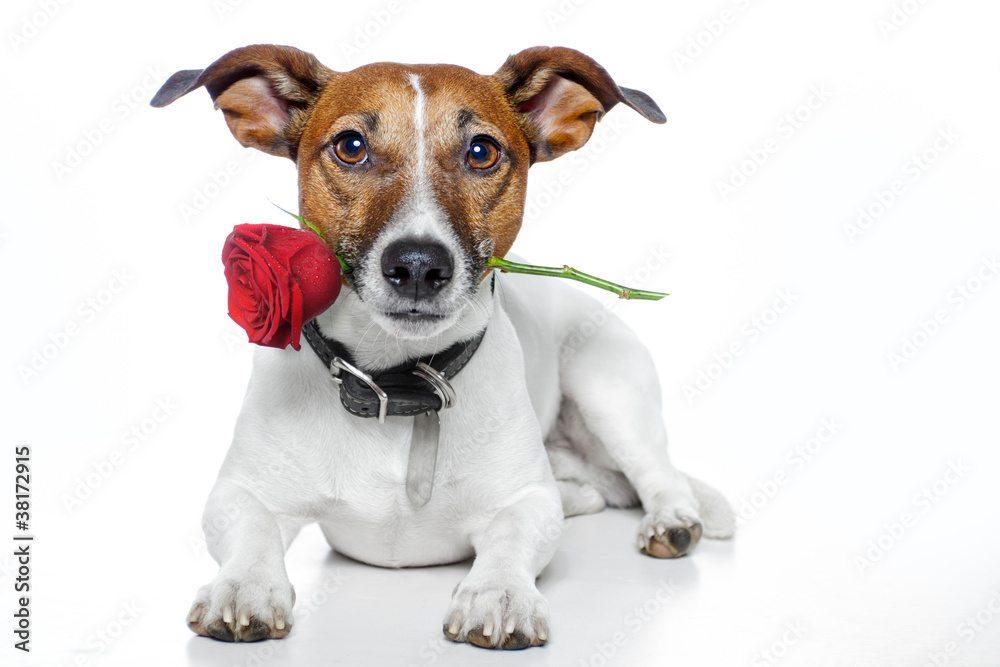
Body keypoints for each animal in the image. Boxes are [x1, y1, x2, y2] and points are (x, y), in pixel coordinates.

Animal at [154, 44, 736, 648]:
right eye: (350, 146)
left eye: (481, 151)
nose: (417, 265)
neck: (396, 385)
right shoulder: (238, 492)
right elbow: (253, 529)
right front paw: (244, 585)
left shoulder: (528, 501)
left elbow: (509, 535)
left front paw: (498, 593)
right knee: (597, 489)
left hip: (608, 390)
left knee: (658, 475)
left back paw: (672, 521)